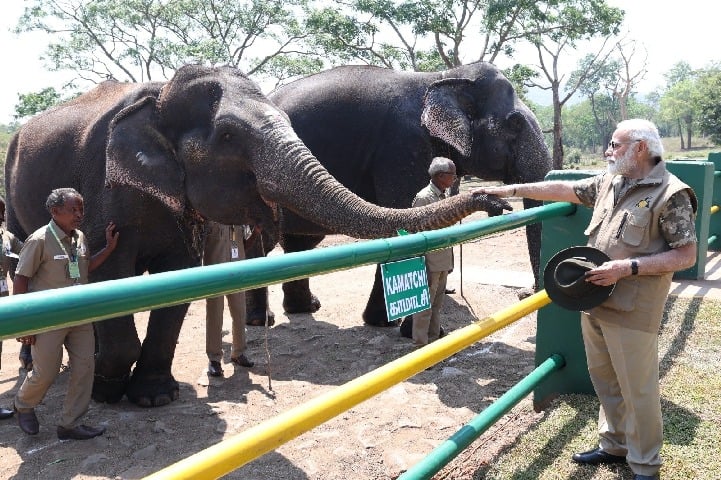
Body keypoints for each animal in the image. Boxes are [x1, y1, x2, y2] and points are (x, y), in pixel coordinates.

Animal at [7, 64, 512, 408]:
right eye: (229, 136)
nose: (495, 200)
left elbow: (177, 282)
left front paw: (153, 397)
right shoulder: (103, 190)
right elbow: (108, 272)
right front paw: (108, 391)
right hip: (13, 199)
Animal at [243, 61, 552, 326]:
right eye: (515, 123)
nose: (524, 293)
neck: (442, 76)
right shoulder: (402, 148)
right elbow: (401, 217)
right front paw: (383, 323)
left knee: (301, 240)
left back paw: (305, 308)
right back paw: (261, 321)